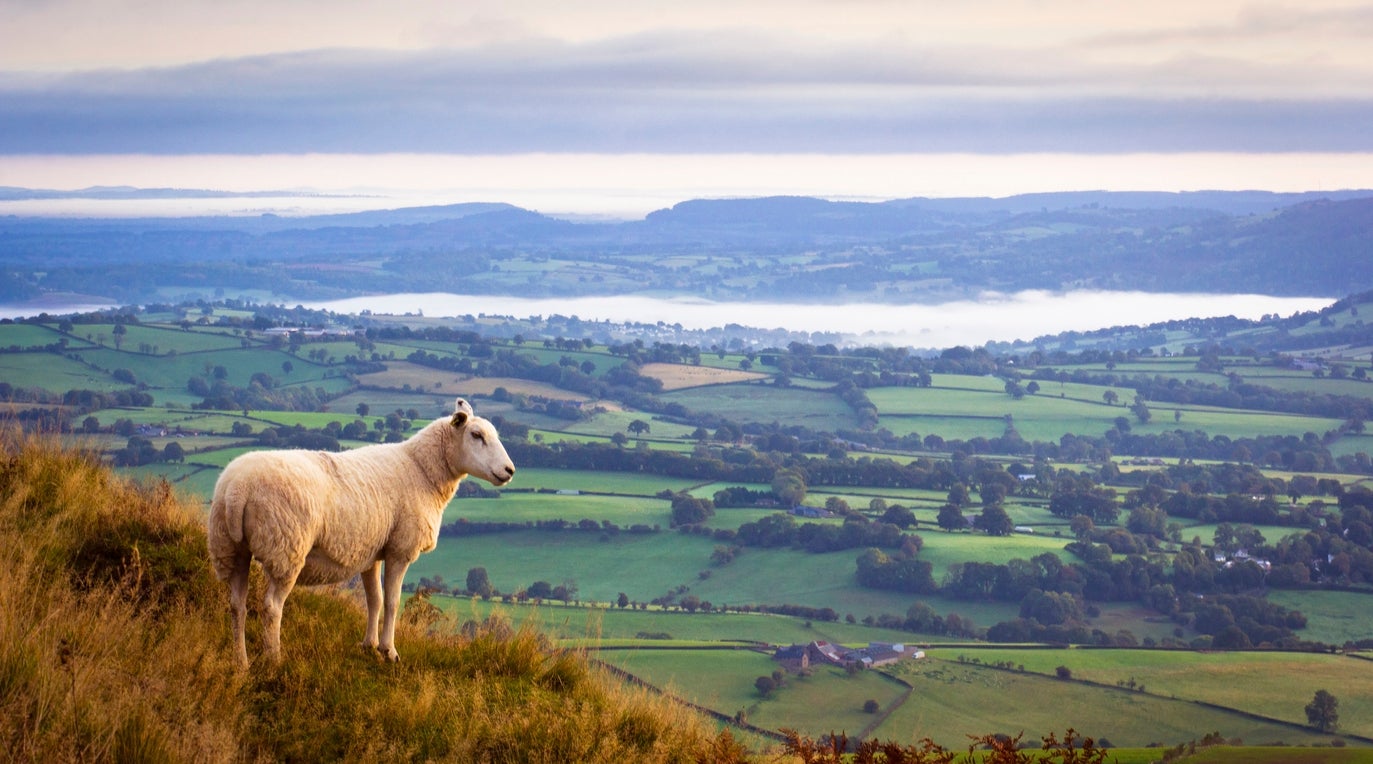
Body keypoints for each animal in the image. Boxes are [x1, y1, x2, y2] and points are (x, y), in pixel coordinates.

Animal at [208, 395, 516, 665]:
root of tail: (237, 490)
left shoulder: (371, 552)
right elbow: (392, 601)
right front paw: (389, 651)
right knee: (272, 606)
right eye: (476, 435)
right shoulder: (400, 549)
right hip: (286, 547)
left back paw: (241, 662)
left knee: (236, 604)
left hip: (231, 548)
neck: (422, 470)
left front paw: (369, 645)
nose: (510, 470)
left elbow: (374, 600)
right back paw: (274, 660)